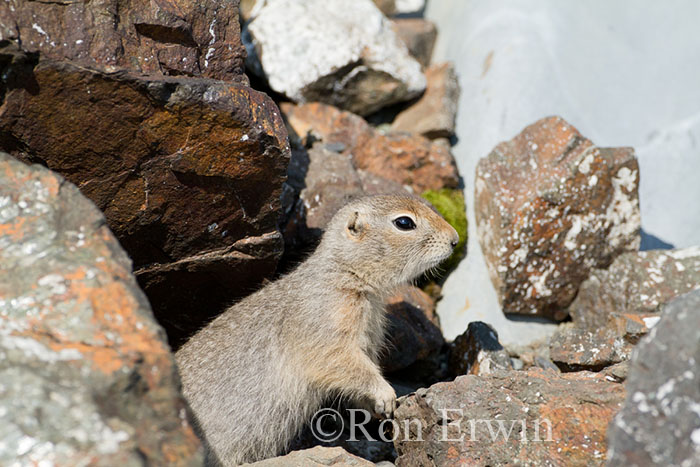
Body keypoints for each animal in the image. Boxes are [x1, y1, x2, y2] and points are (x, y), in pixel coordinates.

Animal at [175, 194, 460, 464]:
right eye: (404, 223)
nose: (455, 239)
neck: (345, 273)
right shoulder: (328, 334)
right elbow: (348, 366)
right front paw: (387, 396)